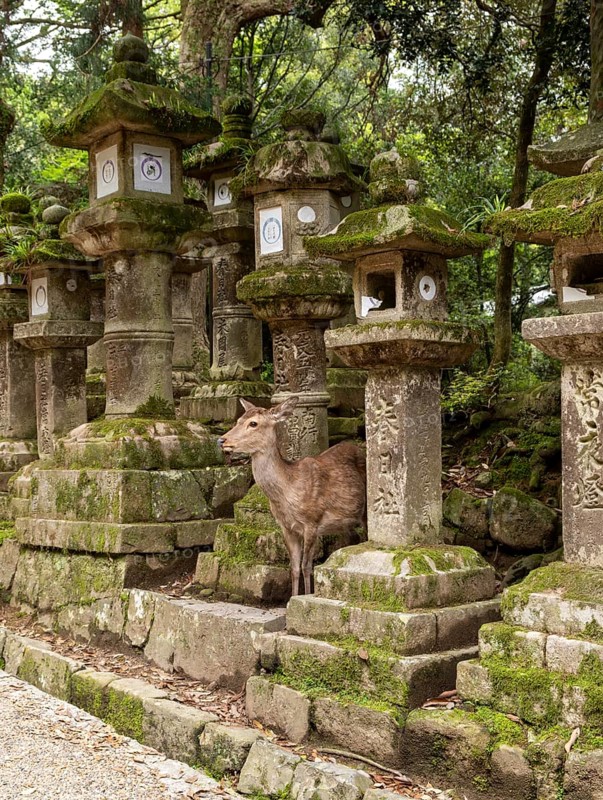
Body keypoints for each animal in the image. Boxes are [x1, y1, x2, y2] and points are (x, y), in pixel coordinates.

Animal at [218, 396, 366, 596]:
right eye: (238, 420)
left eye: (253, 423)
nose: (222, 440)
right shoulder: (286, 527)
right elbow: (294, 568)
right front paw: (292, 598)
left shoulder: (312, 522)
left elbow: (306, 566)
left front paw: (305, 596)